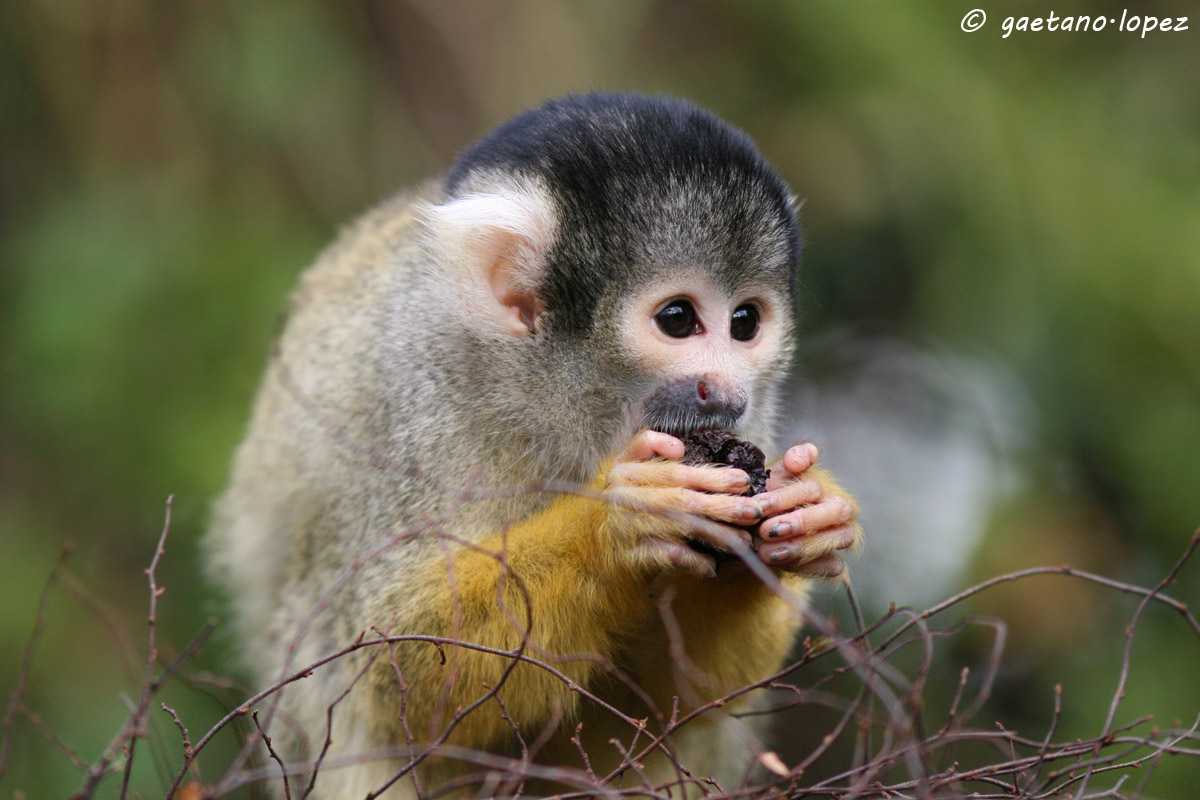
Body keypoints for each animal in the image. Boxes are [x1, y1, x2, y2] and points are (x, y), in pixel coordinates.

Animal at [205, 92, 860, 798]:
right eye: (678, 319)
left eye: (745, 322)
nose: (728, 389)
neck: (560, 409)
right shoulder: (415, 409)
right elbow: (390, 666)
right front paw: (615, 524)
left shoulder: (751, 425)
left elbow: (665, 706)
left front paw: (804, 519)